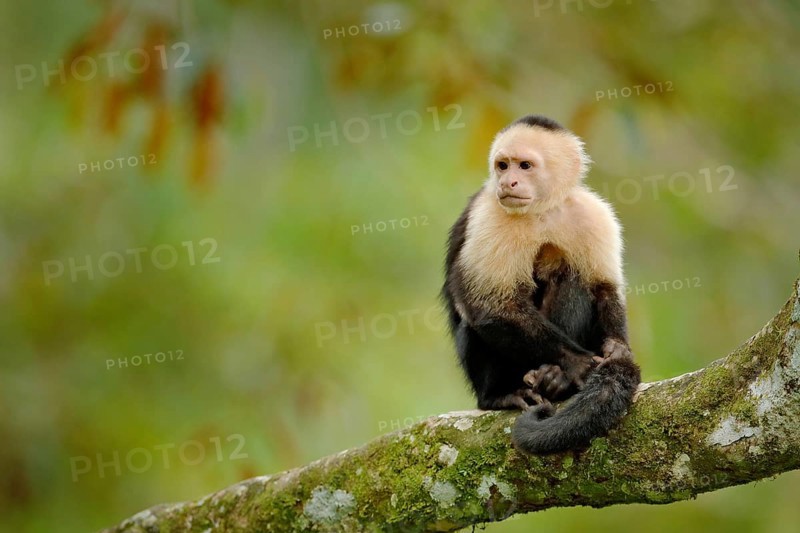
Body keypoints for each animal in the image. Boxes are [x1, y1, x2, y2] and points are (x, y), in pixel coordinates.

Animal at [442, 114, 640, 455]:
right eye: (503, 166)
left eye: (524, 166)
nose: (508, 182)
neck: (540, 210)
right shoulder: (490, 216)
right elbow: (491, 306)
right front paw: (581, 365)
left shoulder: (594, 214)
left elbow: (604, 288)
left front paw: (618, 348)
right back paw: (500, 395)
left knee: (572, 274)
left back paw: (554, 379)